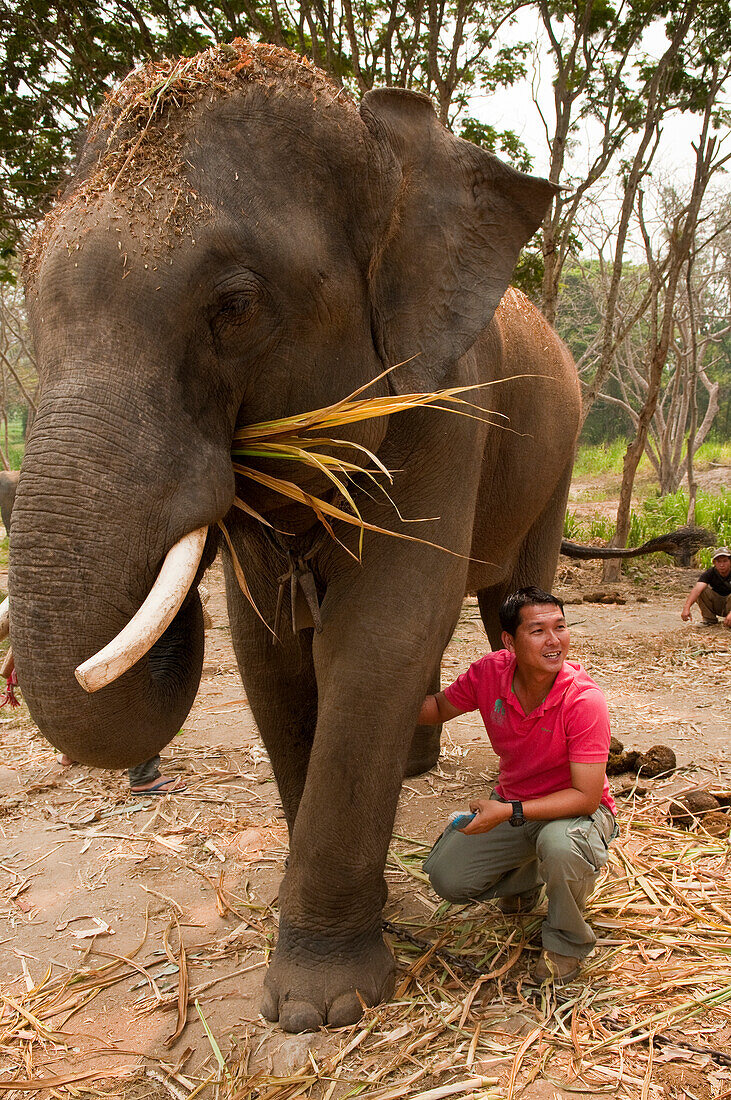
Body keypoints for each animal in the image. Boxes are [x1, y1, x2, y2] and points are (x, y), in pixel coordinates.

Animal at [11, 42, 580, 1034]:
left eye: (235, 304)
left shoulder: (445, 405)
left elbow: (377, 632)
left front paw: (320, 1007)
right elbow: (268, 649)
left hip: (561, 448)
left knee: (504, 597)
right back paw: (416, 763)